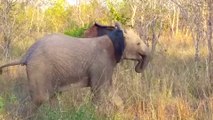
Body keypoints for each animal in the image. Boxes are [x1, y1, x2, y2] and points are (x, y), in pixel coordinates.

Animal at [0, 21, 151, 117]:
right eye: (138, 43)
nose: (138, 68)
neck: (113, 34)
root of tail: (27, 54)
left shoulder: (106, 66)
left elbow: (111, 92)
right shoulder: (101, 63)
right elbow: (99, 91)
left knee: (52, 97)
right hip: (39, 69)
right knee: (40, 99)